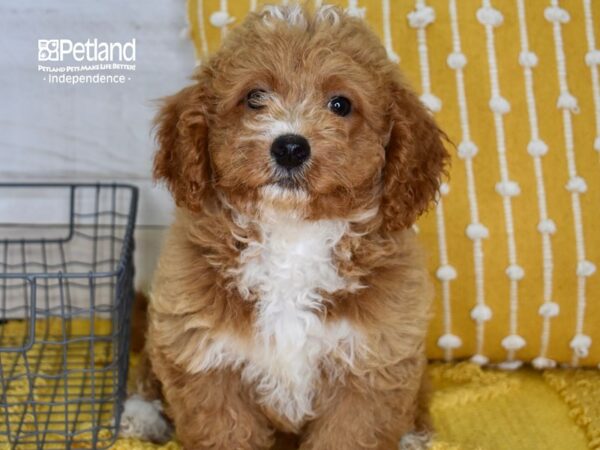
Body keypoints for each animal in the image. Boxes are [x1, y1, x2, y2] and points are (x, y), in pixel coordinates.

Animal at [122, 4, 448, 450]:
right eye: (254, 97)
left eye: (341, 104)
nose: (290, 147)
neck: (292, 234)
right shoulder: (204, 355)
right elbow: (225, 431)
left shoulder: (371, 365)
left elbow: (349, 434)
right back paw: (142, 416)